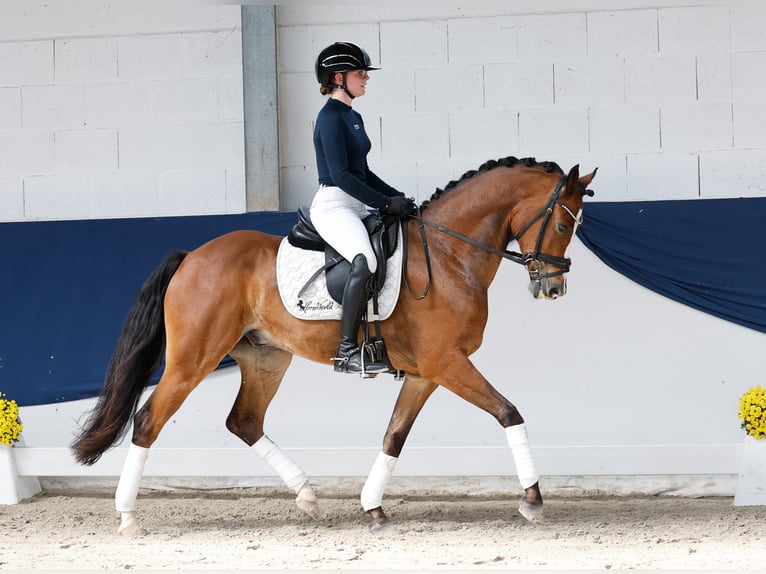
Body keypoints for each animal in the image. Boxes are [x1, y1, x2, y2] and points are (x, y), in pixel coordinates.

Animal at [71, 156, 597, 535]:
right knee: (148, 420)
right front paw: (532, 500)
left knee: (244, 421)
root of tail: (191, 257)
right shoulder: (446, 363)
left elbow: (393, 436)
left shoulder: (426, 372)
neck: (449, 255)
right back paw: (127, 517)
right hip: (192, 359)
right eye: (563, 225)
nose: (553, 288)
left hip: (266, 357)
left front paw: (373, 509)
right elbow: (509, 412)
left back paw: (307, 495)